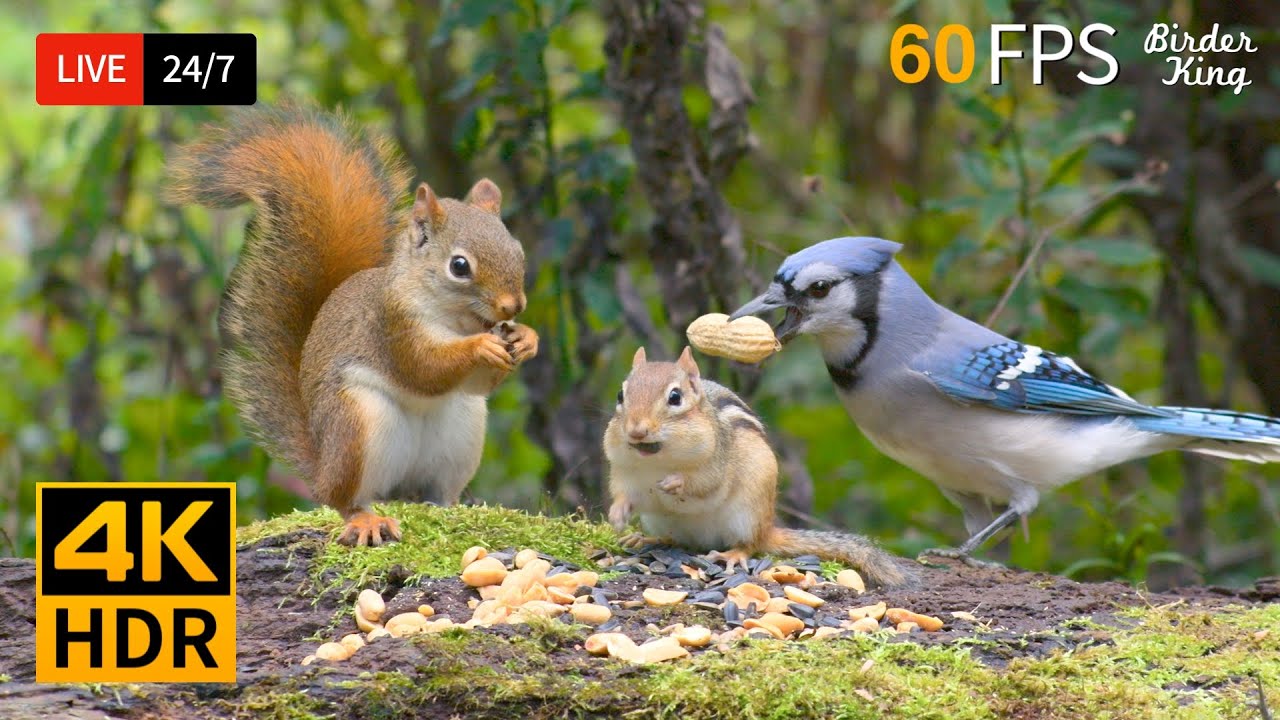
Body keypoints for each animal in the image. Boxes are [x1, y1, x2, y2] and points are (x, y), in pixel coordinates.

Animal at [168, 105, 537, 546]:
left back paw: (447, 508)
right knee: (343, 499)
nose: (513, 305)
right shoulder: (391, 324)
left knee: (431, 491)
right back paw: (364, 520)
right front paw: (480, 347)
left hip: (462, 435)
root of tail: (322, 465)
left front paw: (527, 338)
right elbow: (424, 369)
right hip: (357, 426)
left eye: (517, 250)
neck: (456, 319)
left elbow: (479, 383)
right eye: (459, 266)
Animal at [603, 347, 912, 587]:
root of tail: (767, 527)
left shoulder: (715, 460)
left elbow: (705, 483)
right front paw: (617, 513)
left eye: (675, 397)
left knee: (749, 544)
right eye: (620, 395)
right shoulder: (622, 470)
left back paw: (732, 554)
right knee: (675, 539)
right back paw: (644, 538)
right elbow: (621, 492)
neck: (656, 460)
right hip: (662, 520)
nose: (637, 431)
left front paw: (674, 483)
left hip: (748, 510)